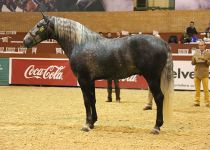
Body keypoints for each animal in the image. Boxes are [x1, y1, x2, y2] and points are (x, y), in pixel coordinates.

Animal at [23, 13, 174, 134]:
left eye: (39, 25)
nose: (25, 41)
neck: (80, 44)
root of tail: (162, 43)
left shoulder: (83, 79)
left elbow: (86, 101)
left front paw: (86, 125)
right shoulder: (90, 80)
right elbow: (92, 99)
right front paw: (92, 123)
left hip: (152, 78)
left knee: (159, 97)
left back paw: (156, 127)